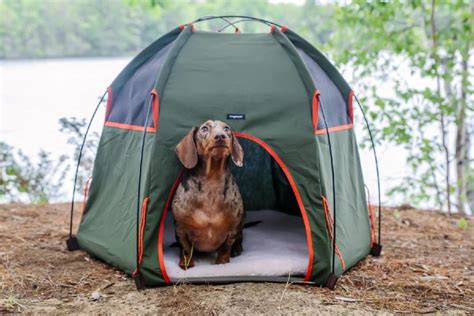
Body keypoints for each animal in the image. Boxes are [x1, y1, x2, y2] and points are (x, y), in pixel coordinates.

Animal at [172, 120, 244, 270]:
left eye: (226, 128)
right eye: (204, 128)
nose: (221, 136)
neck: (212, 179)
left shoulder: (232, 229)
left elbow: (225, 248)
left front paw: (222, 263)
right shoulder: (180, 229)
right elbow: (186, 248)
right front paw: (186, 264)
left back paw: (237, 249)